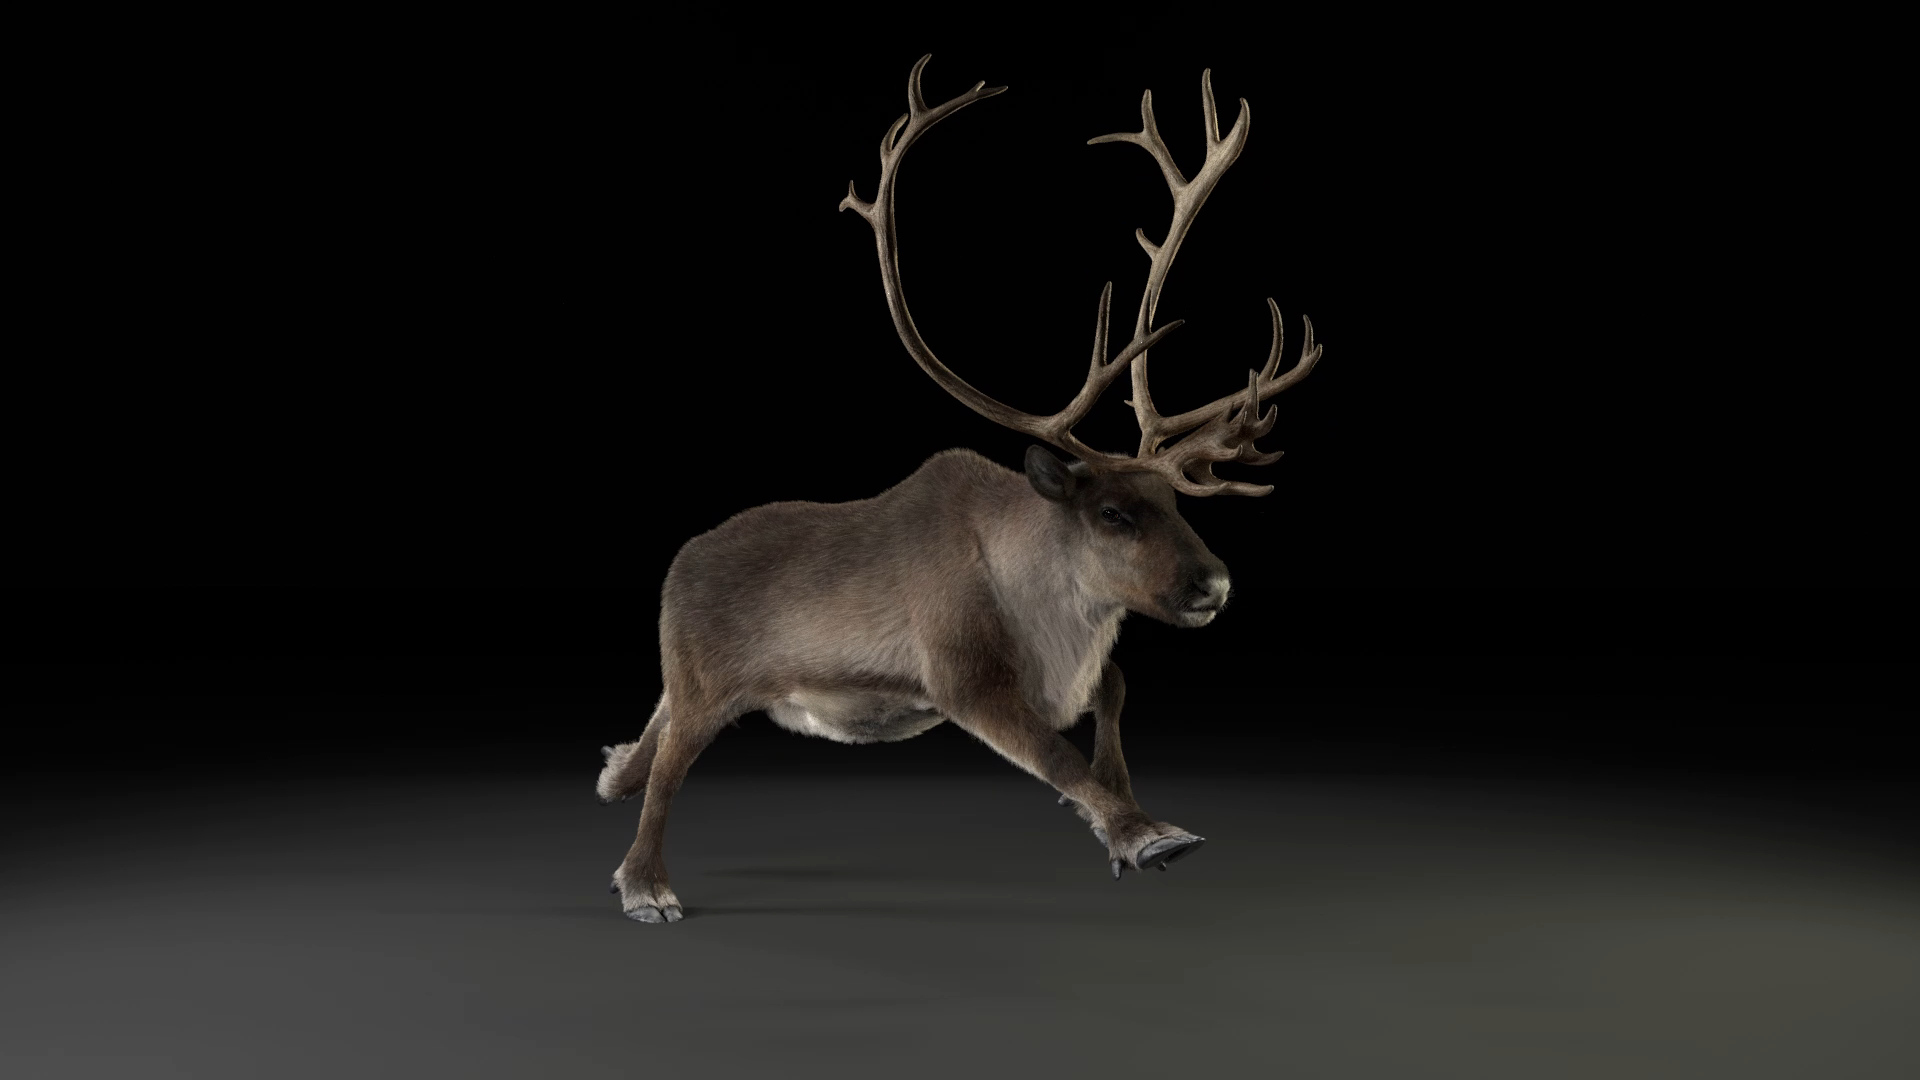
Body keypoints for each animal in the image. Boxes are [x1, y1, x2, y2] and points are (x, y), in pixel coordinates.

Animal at [598, 56, 1321, 923]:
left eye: (1179, 504)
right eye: (1112, 512)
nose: (1215, 584)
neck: (1046, 604)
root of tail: (676, 570)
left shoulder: (1072, 672)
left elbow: (1112, 688)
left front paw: (1115, 808)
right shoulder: (961, 676)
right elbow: (1053, 750)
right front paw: (1145, 833)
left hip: (690, 684)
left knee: (653, 737)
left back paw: (612, 773)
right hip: (705, 678)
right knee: (671, 763)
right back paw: (645, 884)